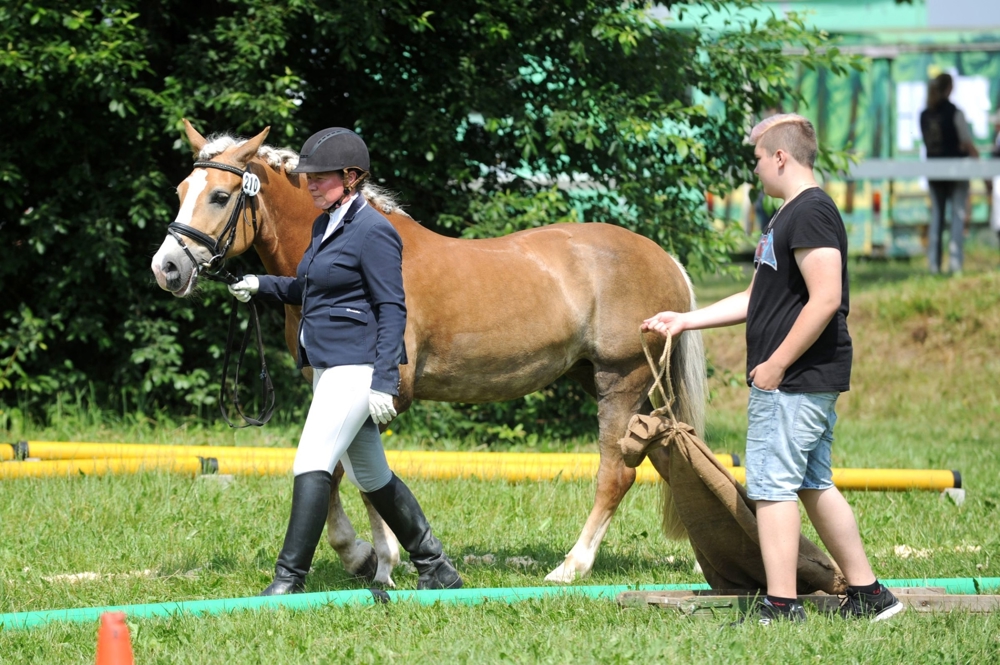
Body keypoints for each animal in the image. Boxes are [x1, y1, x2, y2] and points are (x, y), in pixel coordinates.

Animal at [151, 120, 707, 586]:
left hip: (621, 380)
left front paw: (380, 562)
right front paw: (362, 556)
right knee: (661, 458)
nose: (167, 268)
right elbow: (331, 468)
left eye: (220, 196)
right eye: (181, 192)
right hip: (608, 381)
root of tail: (664, 258)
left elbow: (361, 475)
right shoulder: (332, 383)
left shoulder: (381, 391)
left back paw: (571, 567)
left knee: (616, 472)